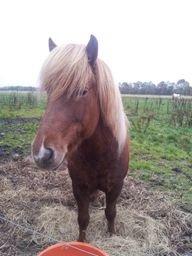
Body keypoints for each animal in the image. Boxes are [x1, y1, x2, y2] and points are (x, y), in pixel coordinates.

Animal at [32, 35, 130, 242]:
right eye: (49, 91)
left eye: (82, 91)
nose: (42, 154)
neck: (100, 154)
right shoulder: (79, 187)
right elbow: (83, 218)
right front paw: (80, 242)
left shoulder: (116, 187)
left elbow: (111, 213)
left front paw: (111, 235)